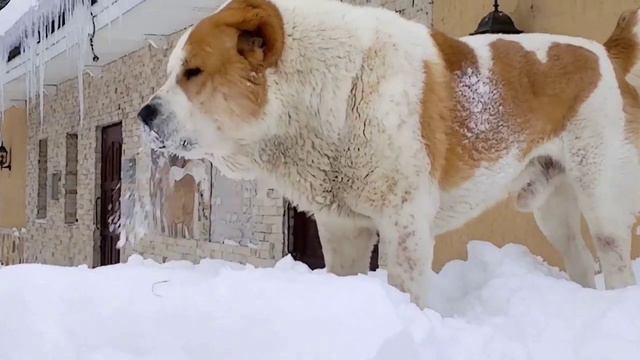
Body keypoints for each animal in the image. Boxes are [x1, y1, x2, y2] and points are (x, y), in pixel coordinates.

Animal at [139, 0, 640, 310]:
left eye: (193, 72)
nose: (144, 115)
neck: (334, 91)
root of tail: (605, 53)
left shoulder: (404, 224)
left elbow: (408, 290)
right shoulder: (342, 229)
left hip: (602, 198)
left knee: (614, 259)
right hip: (552, 208)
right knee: (580, 259)